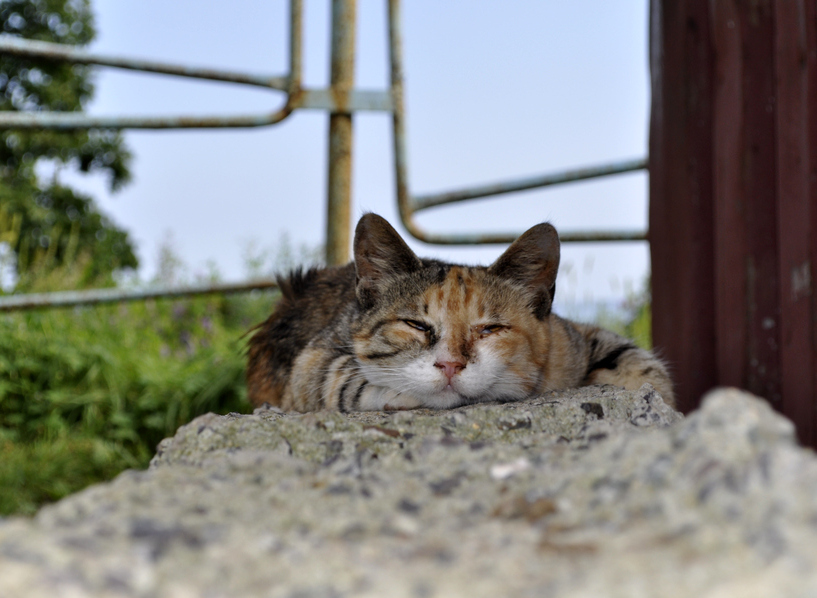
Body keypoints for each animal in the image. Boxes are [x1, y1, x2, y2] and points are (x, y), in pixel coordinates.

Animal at [245, 214, 672, 412]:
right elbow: (341, 376)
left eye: (490, 329)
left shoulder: (577, 338)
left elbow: (643, 366)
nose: (450, 365)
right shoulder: (313, 359)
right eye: (415, 324)